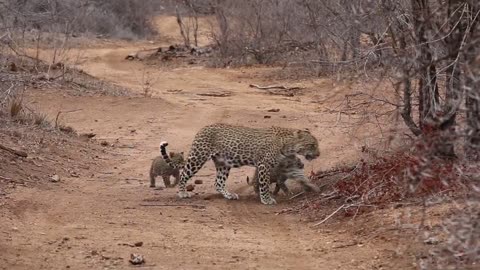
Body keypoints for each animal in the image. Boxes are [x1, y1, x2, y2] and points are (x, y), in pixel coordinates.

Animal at [159, 123, 320, 205]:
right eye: (312, 145)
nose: (318, 154)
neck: (288, 144)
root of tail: (203, 128)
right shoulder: (263, 164)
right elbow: (264, 184)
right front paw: (266, 199)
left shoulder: (289, 163)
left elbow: (299, 176)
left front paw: (313, 187)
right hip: (198, 157)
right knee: (184, 174)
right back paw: (182, 192)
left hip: (223, 163)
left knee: (218, 182)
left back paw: (229, 195)